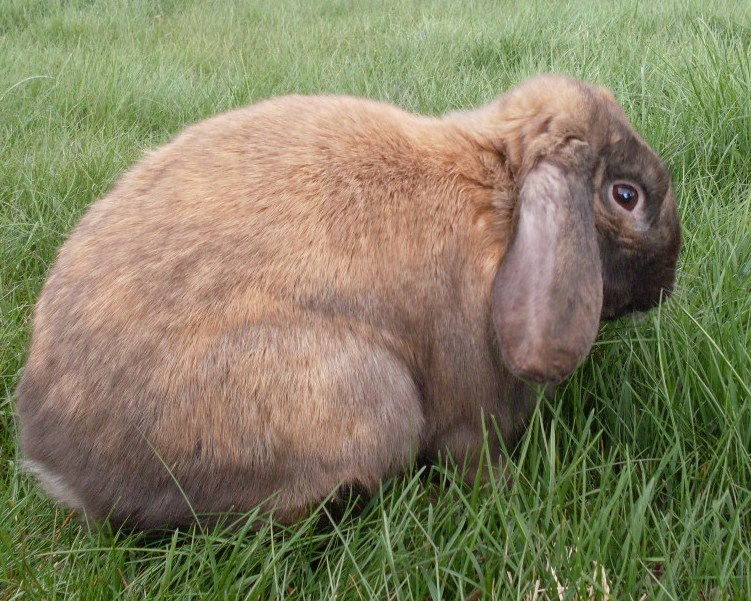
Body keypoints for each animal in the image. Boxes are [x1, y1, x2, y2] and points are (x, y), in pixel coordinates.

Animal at [14, 76, 680, 528]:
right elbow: (473, 455)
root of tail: (59, 462)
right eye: (626, 195)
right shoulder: (471, 404)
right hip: (360, 391)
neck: (504, 196)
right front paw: (506, 491)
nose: (668, 282)